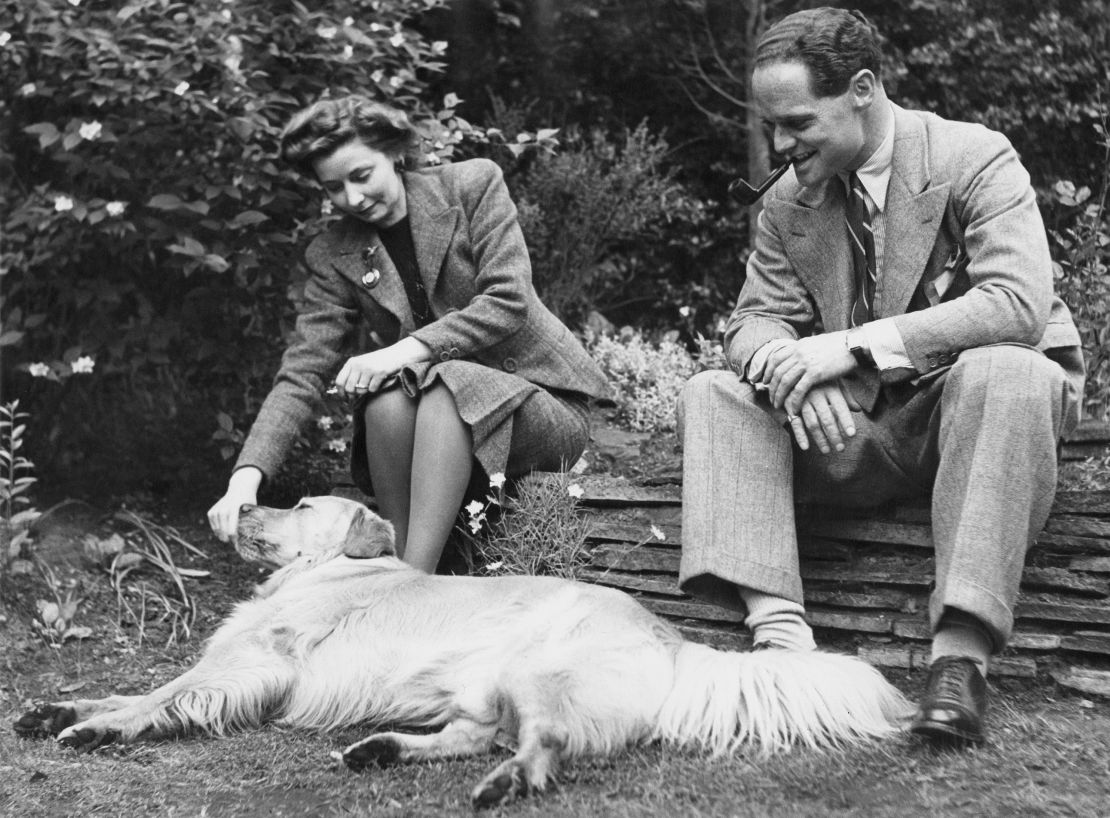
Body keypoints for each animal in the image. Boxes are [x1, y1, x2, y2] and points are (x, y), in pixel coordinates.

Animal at [15, 495, 910, 808]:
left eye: (298, 505)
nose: (240, 508)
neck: (330, 568)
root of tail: (672, 636)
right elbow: (133, 688)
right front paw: (60, 709)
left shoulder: (255, 665)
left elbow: (159, 698)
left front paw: (99, 729)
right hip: (484, 684)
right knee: (479, 734)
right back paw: (381, 750)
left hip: (535, 670)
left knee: (541, 742)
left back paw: (506, 784)